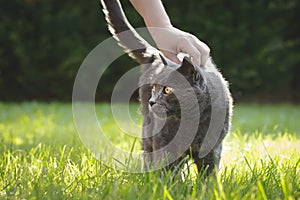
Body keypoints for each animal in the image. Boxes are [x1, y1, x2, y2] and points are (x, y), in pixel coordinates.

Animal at [101, 0, 232, 176]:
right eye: (154, 88)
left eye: (167, 90)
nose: (152, 101)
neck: (190, 121)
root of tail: (154, 53)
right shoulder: (163, 143)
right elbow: (167, 169)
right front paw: (166, 183)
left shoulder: (212, 148)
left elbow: (209, 172)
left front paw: (208, 184)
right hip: (148, 130)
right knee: (148, 154)